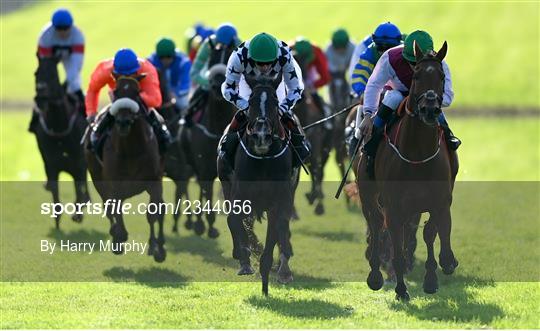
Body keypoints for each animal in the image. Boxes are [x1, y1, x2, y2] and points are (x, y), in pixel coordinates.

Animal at [32, 55, 89, 230]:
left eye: (53, 74)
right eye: (36, 73)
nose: (40, 99)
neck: (59, 127)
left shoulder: (79, 162)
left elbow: (80, 191)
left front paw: (77, 214)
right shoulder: (51, 164)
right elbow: (55, 195)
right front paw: (57, 222)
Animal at [82, 76, 166, 264]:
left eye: (137, 92)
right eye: (117, 92)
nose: (123, 122)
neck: (131, 149)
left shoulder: (154, 181)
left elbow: (154, 213)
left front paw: (157, 248)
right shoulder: (112, 184)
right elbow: (114, 209)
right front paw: (119, 238)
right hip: (97, 177)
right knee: (109, 207)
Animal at [182, 41, 235, 239]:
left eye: (228, 60)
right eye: (211, 59)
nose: (216, 84)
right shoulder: (203, 164)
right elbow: (207, 191)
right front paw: (208, 225)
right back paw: (198, 222)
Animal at [218, 78, 298, 296]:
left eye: (275, 101)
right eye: (252, 101)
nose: (261, 136)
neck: (262, 161)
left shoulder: (278, 202)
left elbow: (276, 231)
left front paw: (270, 276)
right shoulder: (238, 196)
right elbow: (234, 221)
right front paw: (244, 258)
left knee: (283, 227)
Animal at [356, 41, 458, 300]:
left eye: (442, 76)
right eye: (417, 76)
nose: (430, 109)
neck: (417, 156)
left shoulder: (439, 201)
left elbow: (433, 232)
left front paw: (434, 275)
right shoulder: (393, 206)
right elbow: (395, 244)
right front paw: (401, 288)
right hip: (368, 195)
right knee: (375, 224)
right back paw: (375, 274)